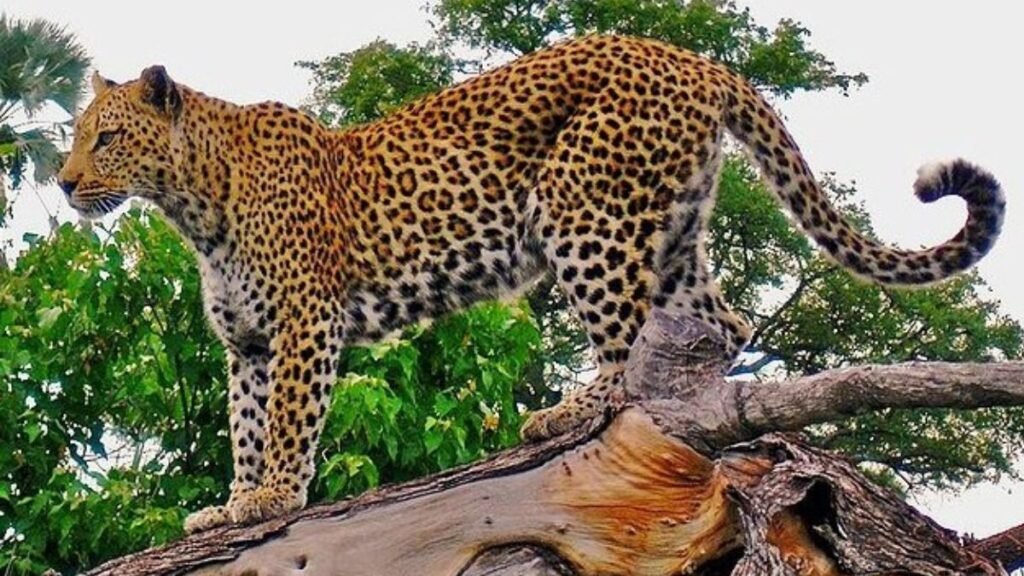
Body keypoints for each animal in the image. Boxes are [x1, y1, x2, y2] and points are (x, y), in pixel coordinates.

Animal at [58, 35, 1004, 533]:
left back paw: (571, 412)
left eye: (107, 138)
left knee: (622, 345)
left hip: (586, 215)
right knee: (721, 323)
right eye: (74, 135)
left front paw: (270, 500)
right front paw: (232, 505)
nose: (64, 183)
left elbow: (288, 421)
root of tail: (691, 57)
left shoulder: (302, 324)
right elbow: (247, 426)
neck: (193, 201)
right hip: (671, 235)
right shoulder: (248, 342)